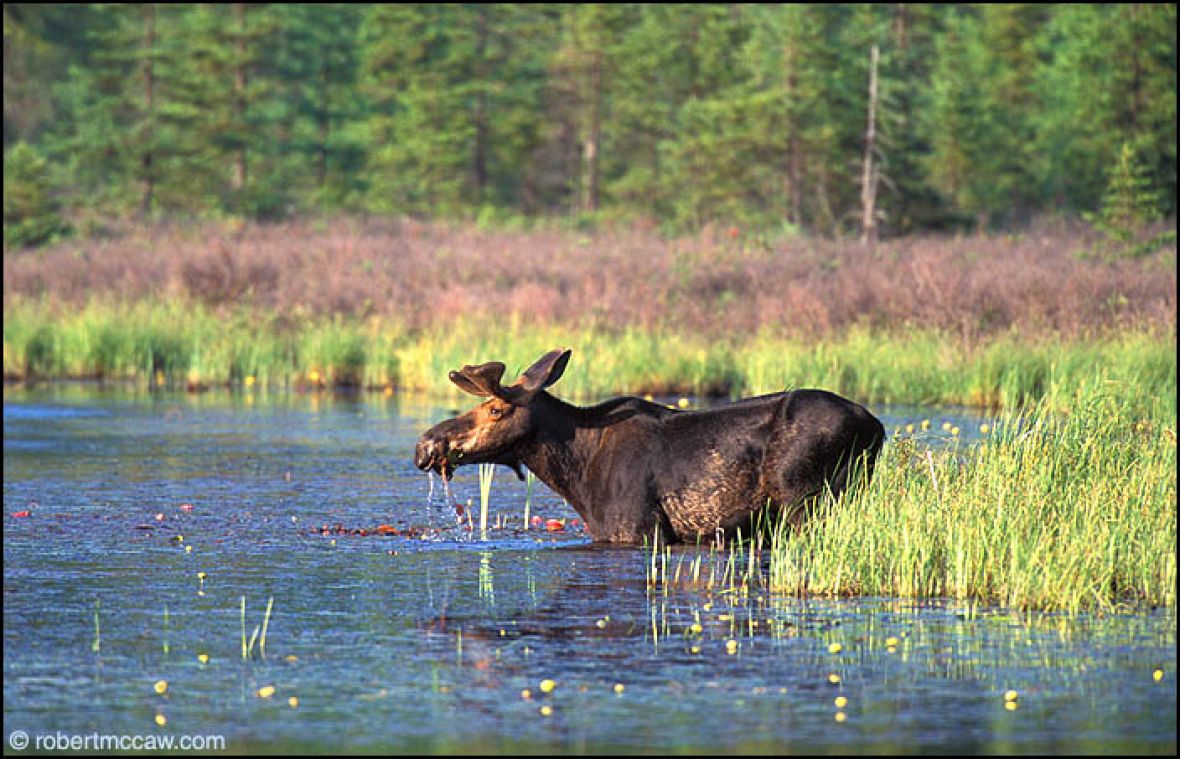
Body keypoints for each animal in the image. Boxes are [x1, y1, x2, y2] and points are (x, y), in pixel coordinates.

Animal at [415, 347, 887, 542]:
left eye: (495, 409)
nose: (426, 444)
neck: (575, 474)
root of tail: (877, 427)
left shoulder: (636, 529)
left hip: (807, 499)